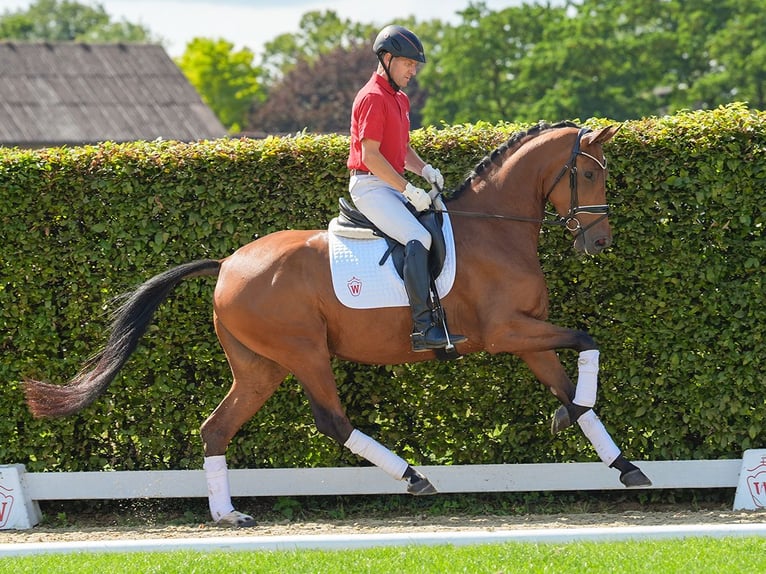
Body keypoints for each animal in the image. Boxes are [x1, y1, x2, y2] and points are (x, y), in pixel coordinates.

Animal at [21, 122, 652, 532]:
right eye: (588, 173)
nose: (599, 242)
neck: (495, 229)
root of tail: (227, 264)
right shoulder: (507, 332)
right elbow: (588, 342)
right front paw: (574, 421)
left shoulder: (529, 334)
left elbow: (573, 388)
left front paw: (623, 465)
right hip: (303, 353)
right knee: (332, 420)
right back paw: (413, 477)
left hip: (259, 366)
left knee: (216, 428)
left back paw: (229, 514)